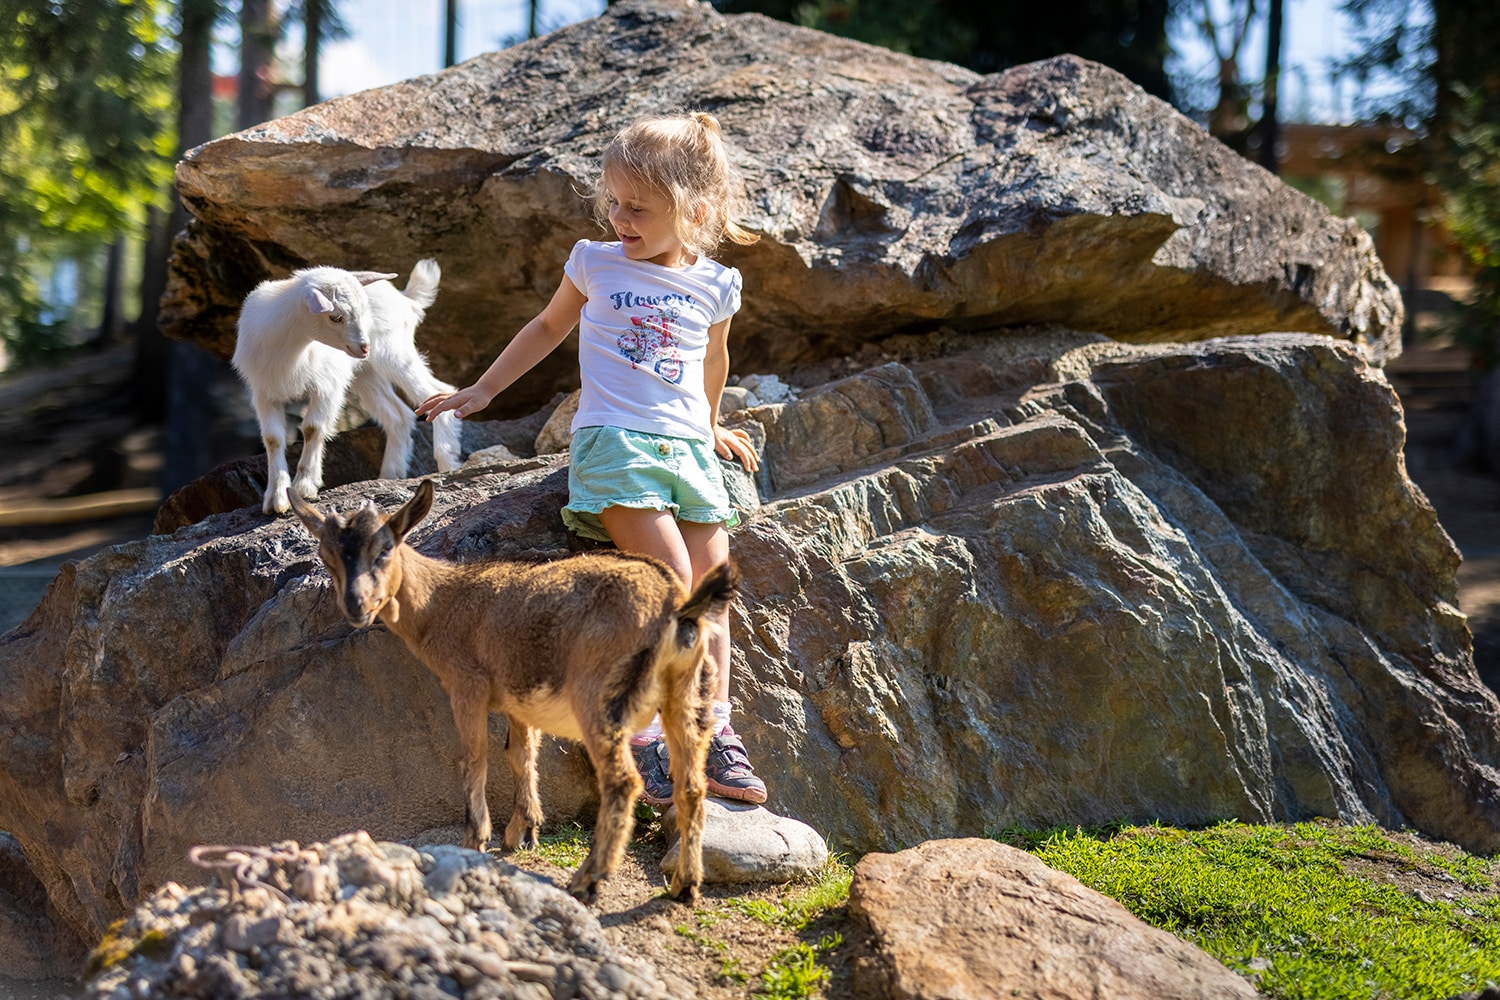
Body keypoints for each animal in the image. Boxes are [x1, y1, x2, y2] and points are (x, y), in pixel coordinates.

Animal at [289, 479, 735, 905]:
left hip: (599, 698)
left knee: (623, 782)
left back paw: (587, 882)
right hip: (686, 695)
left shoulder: (466, 685)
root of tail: (676, 608)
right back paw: (684, 886)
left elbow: (474, 759)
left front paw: (476, 841)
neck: (441, 603)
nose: (356, 606)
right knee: (691, 786)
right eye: (327, 558)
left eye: (385, 549)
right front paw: (523, 832)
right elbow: (520, 755)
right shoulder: (519, 699)